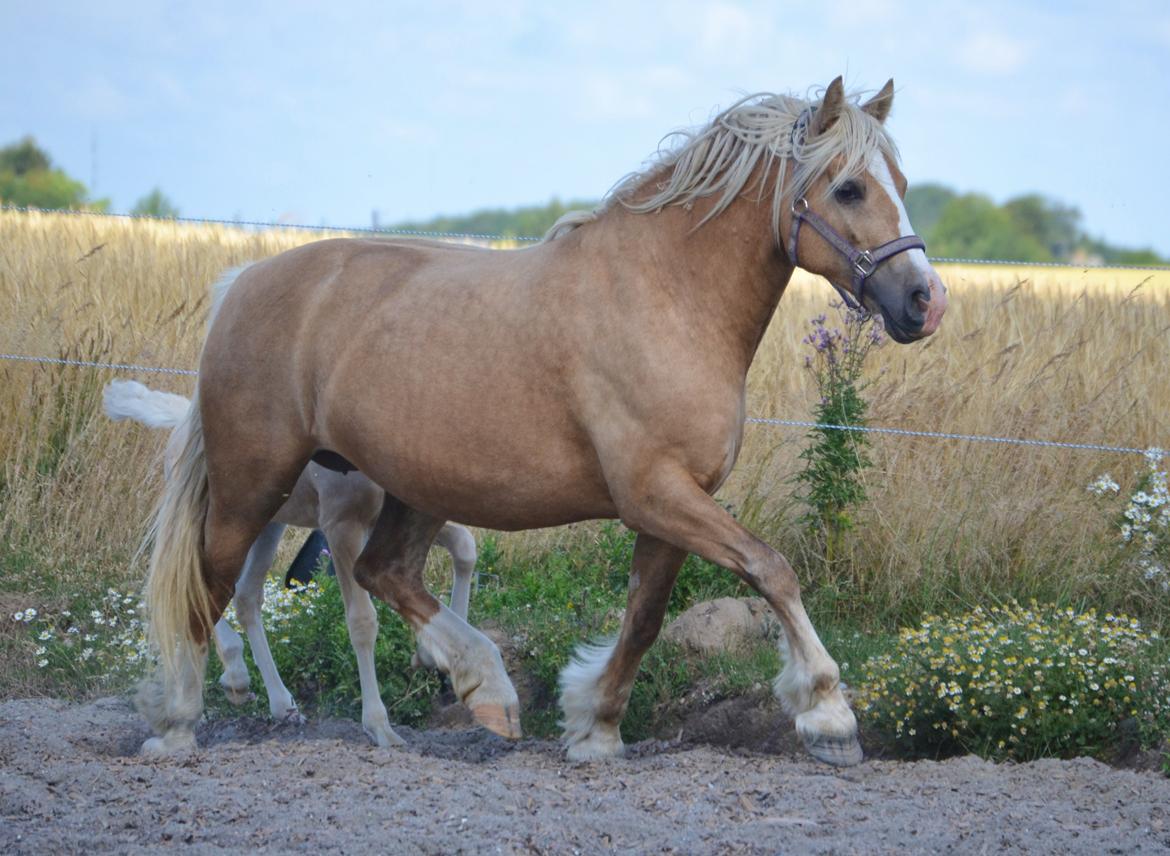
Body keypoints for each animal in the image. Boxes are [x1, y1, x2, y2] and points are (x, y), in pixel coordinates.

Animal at [141, 78, 945, 762]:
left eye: (903, 187)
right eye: (848, 187)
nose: (924, 301)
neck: (667, 300)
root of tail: (243, 282)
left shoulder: (670, 507)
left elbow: (644, 619)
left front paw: (595, 726)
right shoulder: (656, 494)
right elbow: (772, 571)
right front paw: (828, 714)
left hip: (413, 487)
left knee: (382, 570)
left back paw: (487, 690)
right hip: (253, 483)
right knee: (209, 588)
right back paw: (179, 724)